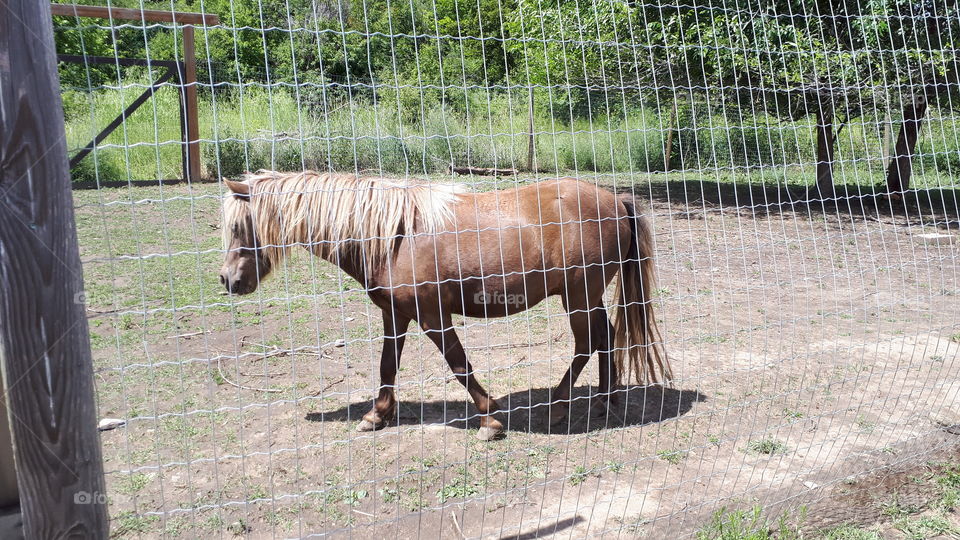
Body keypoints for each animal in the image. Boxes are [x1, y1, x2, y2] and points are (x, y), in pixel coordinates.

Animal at [219, 170, 671, 440]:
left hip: (577, 297)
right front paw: (376, 415)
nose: (228, 280)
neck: (393, 237)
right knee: (605, 337)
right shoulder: (395, 314)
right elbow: (387, 365)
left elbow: (458, 365)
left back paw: (561, 407)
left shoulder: (433, 317)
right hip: (584, 297)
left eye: (240, 225)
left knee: (587, 342)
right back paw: (606, 401)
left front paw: (490, 419)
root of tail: (615, 201)